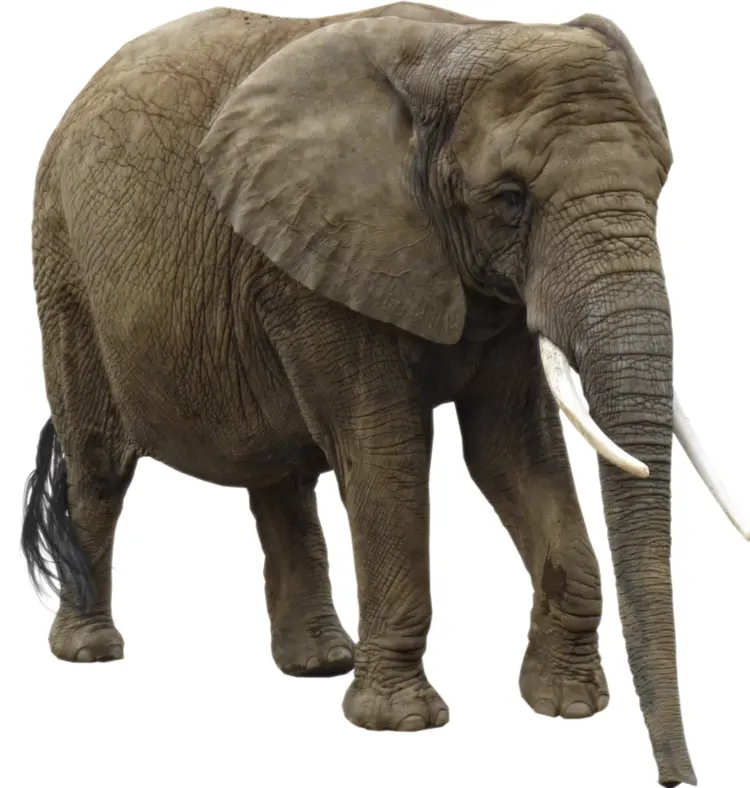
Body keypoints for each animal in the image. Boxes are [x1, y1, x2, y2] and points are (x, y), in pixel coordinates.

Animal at [20, 3, 746, 786]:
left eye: (660, 184)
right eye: (510, 200)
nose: (678, 777)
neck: (458, 41)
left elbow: (513, 452)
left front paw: (568, 706)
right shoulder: (324, 260)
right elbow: (388, 451)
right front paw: (401, 723)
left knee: (279, 477)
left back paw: (318, 663)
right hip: (63, 266)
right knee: (100, 467)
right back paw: (91, 651)